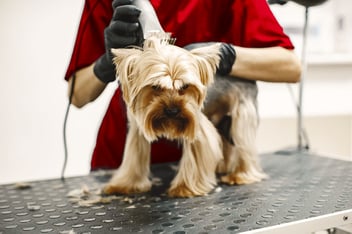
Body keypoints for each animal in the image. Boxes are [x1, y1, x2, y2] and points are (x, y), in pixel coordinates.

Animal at [103, 38, 266, 197]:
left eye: (185, 86)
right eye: (155, 86)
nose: (173, 110)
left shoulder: (196, 123)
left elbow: (195, 155)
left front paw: (184, 188)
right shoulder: (137, 128)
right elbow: (134, 157)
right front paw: (124, 185)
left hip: (242, 112)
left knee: (244, 143)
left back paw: (240, 175)